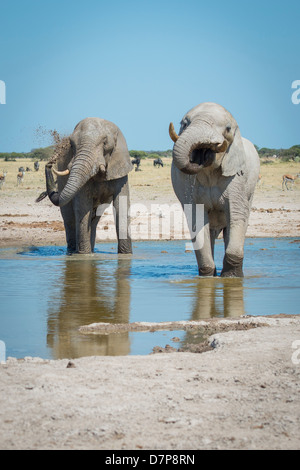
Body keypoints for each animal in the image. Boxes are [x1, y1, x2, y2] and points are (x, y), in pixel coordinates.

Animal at [44, 119, 134, 255]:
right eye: (71, 145)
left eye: (105, 143)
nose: (49, 164)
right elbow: (83, 207)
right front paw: (84, 256)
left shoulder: (120, 168)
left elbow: (121, 205)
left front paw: (126, 255)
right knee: (70, 220)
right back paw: (72, 252)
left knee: (94, 219)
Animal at [169, 101, 260, 278]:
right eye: (184, 124)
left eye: (228, 128)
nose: (200, 157)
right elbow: (197, 221)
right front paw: (207, 277)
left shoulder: (237, 178)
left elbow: (237, 215)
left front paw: (231, 278)